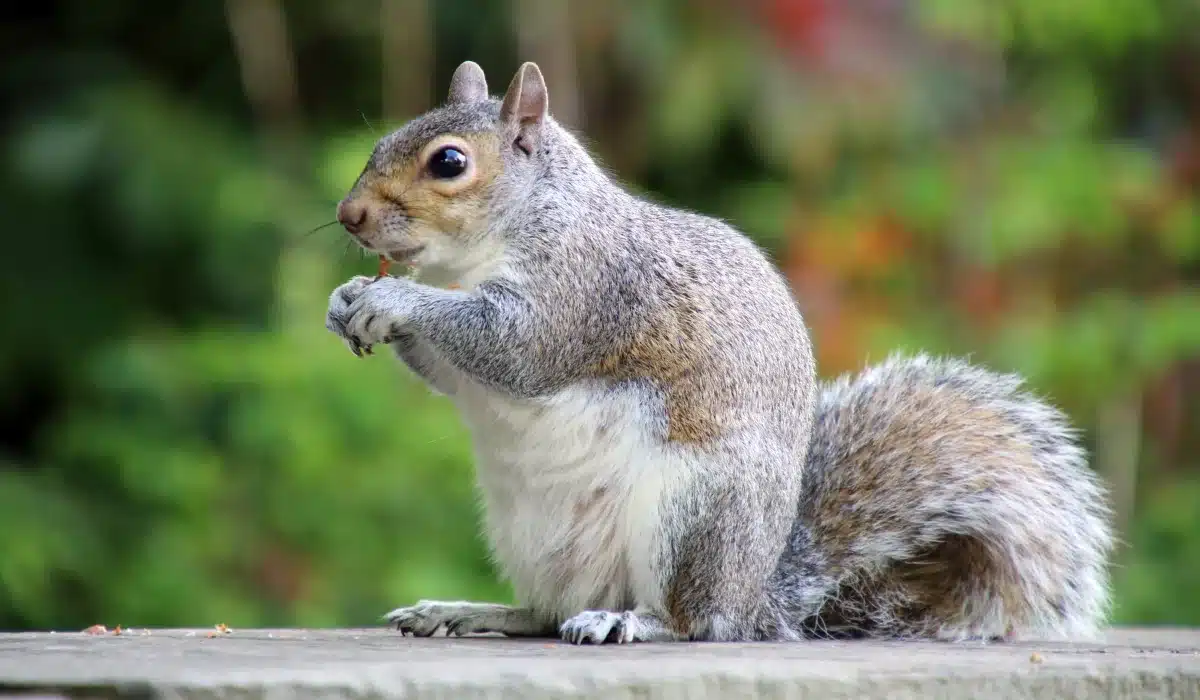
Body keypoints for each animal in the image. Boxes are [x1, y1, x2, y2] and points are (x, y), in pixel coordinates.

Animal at [325, 61, 1114, 644]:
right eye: (386, 139)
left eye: (449, 162)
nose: (348, 215)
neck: (518, 227)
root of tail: (755, 597)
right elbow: (454, 375)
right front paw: (348, 300)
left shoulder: (587, 294)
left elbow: (514, 350)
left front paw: (396, 302)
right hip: (531, 535)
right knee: (547, 614)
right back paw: (472, 612)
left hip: (693, 513)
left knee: (690, 620)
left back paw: (626, 621)